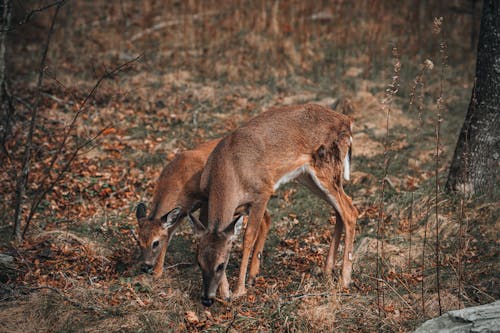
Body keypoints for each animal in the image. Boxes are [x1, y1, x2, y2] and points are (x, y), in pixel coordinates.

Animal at [134, 139, 270, 300]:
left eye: (155, 243)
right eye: (138, 241)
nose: (145, 266)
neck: (179, 178)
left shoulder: (205, 200)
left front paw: (224, 291)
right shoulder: (184, 210)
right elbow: (171, 233)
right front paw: (158, 272)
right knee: (266, 218)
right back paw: (253, 275)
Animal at [188, 104, 360, 306]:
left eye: (221, 265)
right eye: (199, 262)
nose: (207, 299)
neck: (230, 171)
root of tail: (346, 121)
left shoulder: (262, 192)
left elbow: (248, 237)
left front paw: (239, 290)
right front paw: (227, 291)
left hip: (326, 168)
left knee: (350, 211)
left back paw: (344, 279)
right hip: (308, 176)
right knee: (340, 209)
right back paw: (327, 271)